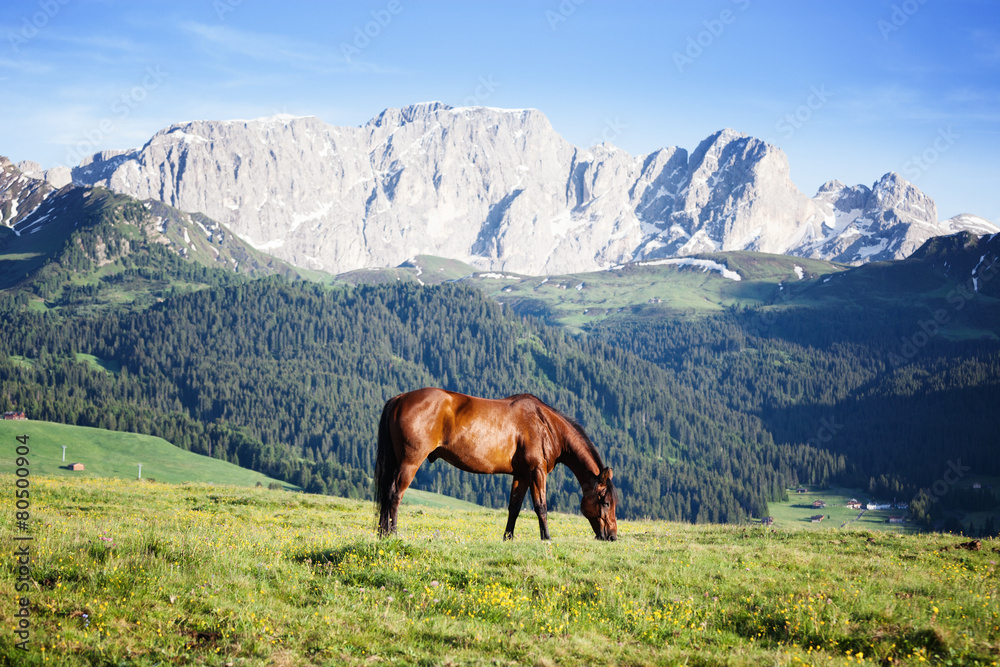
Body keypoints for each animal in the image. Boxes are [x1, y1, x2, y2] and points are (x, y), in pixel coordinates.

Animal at [376, 388, 616, 540]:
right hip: (410, 462)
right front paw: (546, 537)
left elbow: (514, 508)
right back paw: (393, 533)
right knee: (395, 494)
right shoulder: (537, 471)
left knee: (386, 493)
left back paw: (382, 533)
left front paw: (508, 537)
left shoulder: (521, 475)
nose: (612, 536)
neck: (545, 425)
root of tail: (400, 399)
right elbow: (541, 506)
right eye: (605, 502)